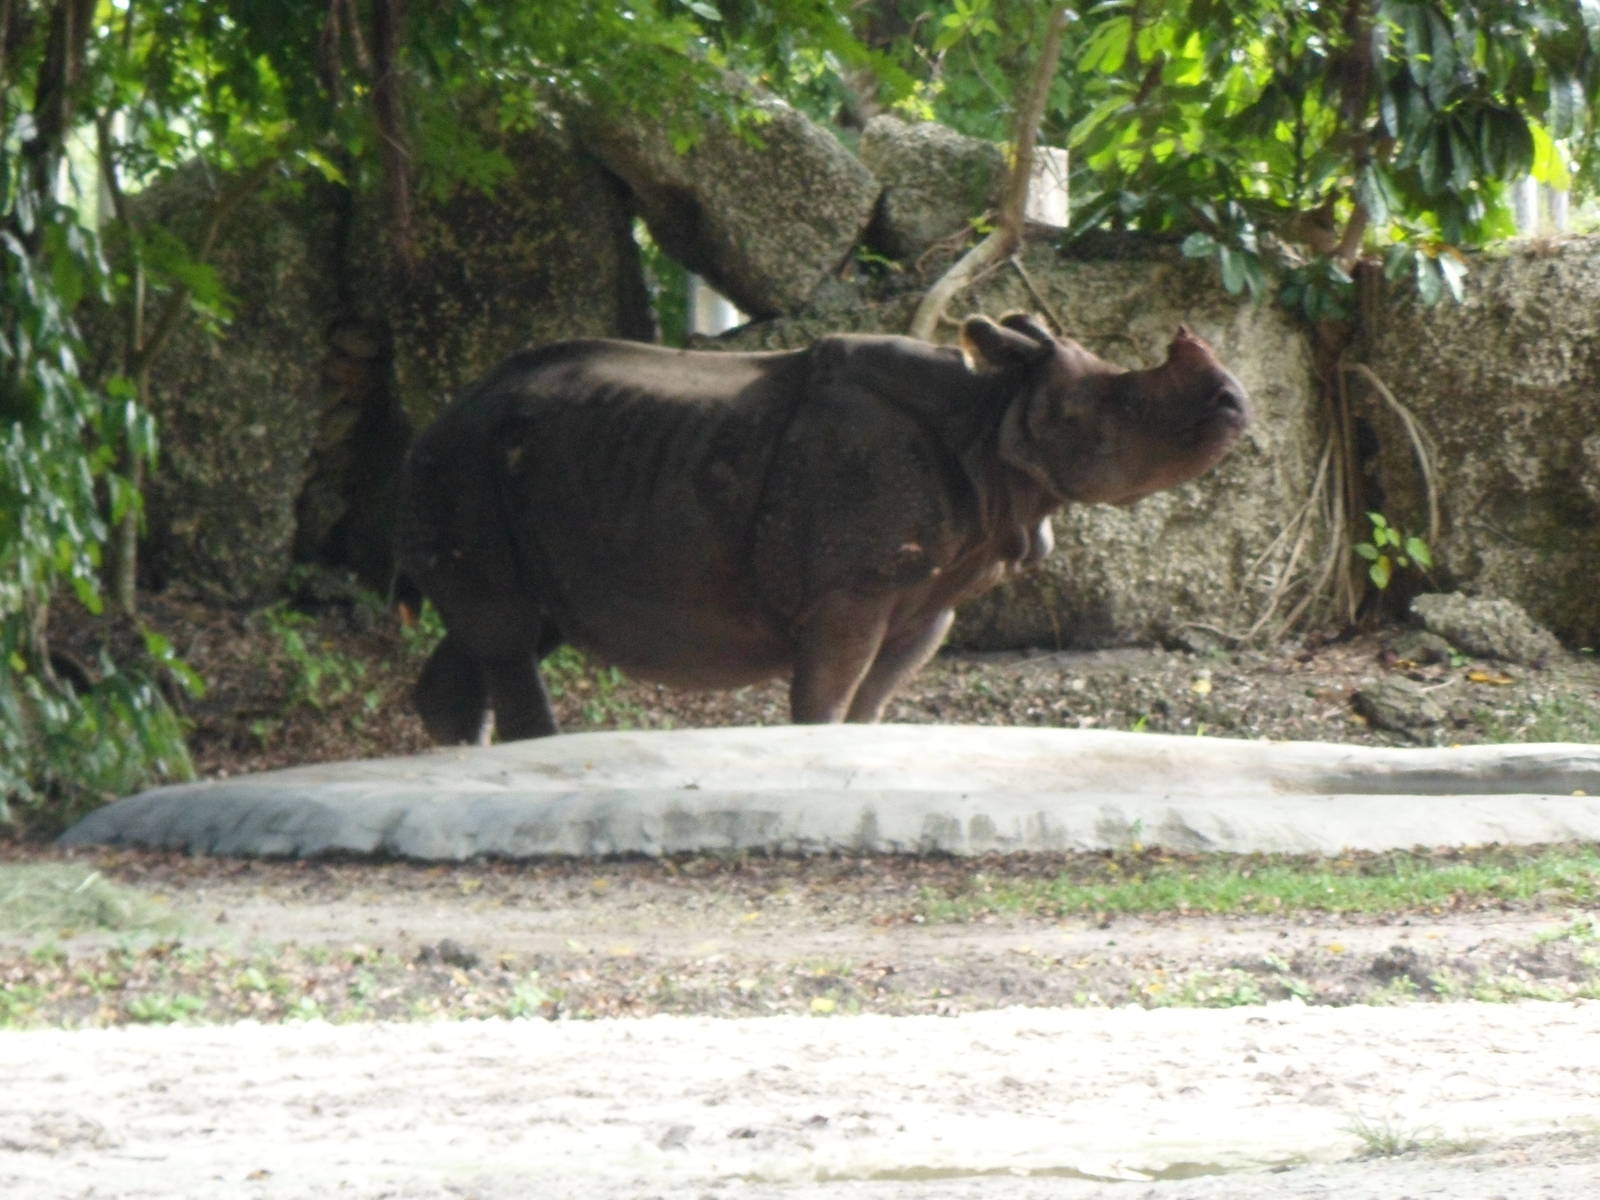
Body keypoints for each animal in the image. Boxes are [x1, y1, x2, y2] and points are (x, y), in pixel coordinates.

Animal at [398, 314, 1249, 742]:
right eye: (1110, 411)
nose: (1235, 403)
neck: (991, 416)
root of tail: (440, 416)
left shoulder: (931, 594)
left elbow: (871, 701)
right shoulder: (852, 584)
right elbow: (827, 699)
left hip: (519, 470)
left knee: (510, 629)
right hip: (461, 465)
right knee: (508, 631)